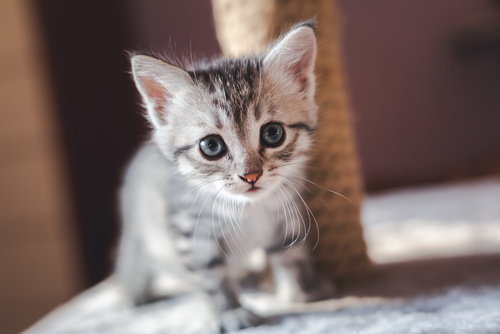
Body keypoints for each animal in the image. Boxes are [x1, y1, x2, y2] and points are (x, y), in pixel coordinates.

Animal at [115, 21, 330, 332]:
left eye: (273, 133)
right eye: (211, 146)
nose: (250, 175)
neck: (248, 210)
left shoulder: (285, 215)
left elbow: (290, 253)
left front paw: (303, 290)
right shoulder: (190, 232)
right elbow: (212, 278)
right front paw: (230, 312)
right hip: (139, 231)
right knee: (132, 259)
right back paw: (131, 293)